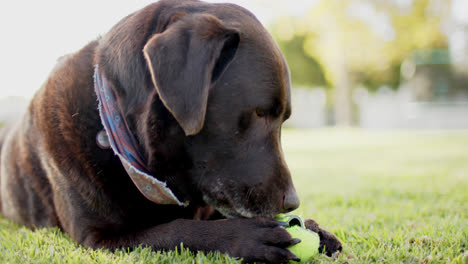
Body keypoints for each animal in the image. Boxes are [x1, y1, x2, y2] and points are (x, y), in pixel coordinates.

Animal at [1, 1, 342, 262]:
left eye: (284, 119)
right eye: (260, 113)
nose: (292, 203)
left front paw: (314, 227)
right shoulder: (98, 238)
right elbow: (176, 229)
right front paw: (248, 238)